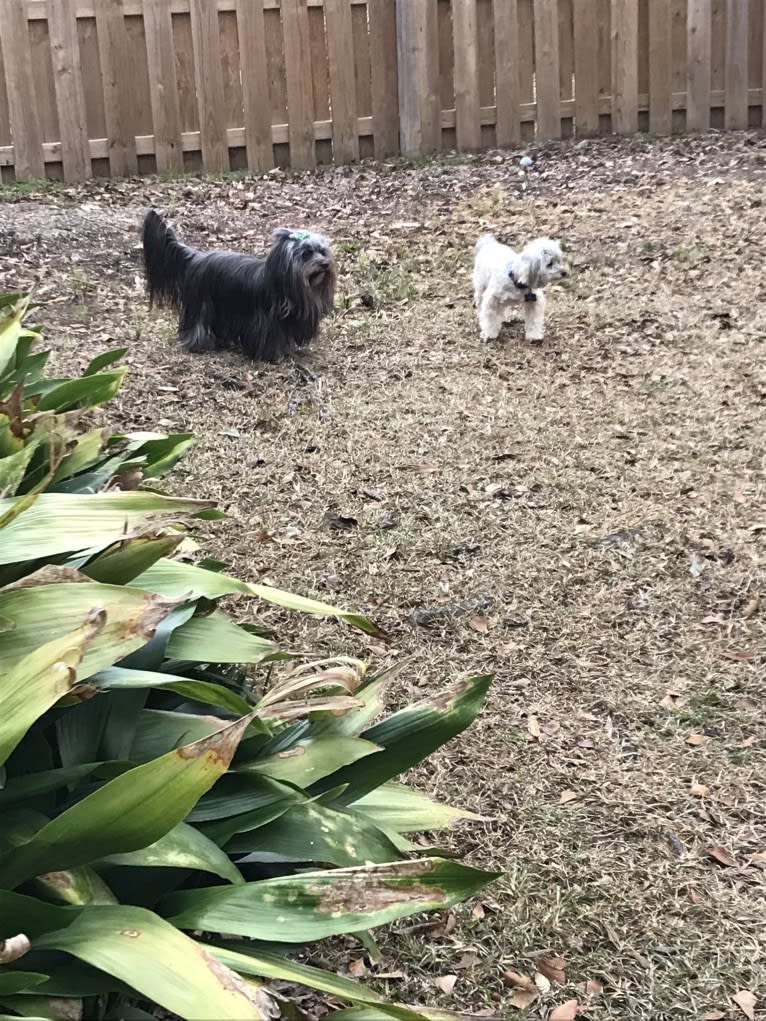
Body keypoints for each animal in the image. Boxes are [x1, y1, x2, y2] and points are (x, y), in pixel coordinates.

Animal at [139, 208, 334, 363]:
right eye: (306, 254)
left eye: (322, 252)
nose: (325, 264)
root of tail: (197, 256)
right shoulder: (266, 323)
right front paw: (275, 356)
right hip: (201, 304)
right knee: (197, 325)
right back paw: (198, 344)